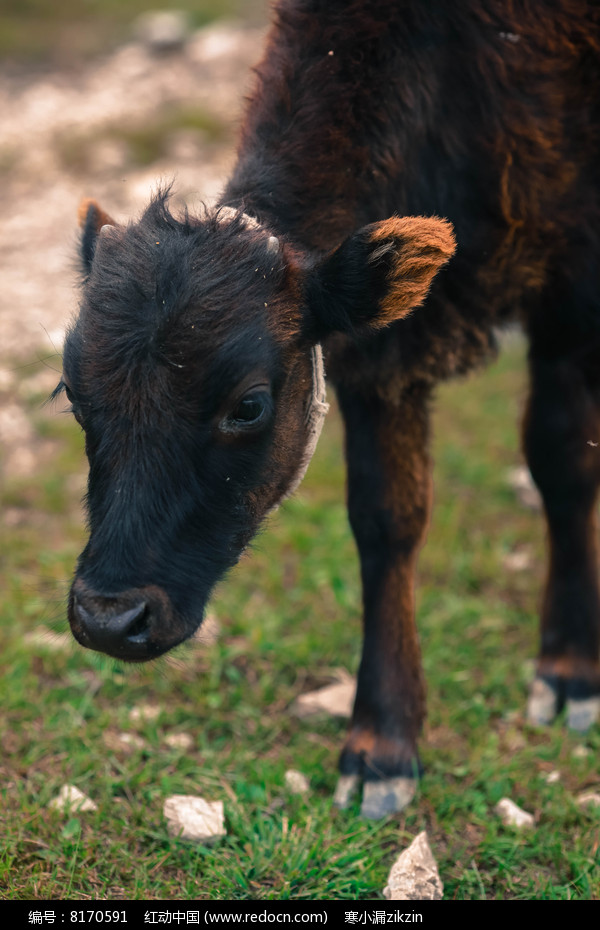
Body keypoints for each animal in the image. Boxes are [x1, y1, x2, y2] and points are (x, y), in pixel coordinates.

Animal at [58, 0, 596, 812]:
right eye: (74, 395)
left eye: (248, 404)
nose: (108, 619)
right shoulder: (383, 362)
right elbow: (387, 522)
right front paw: (383, 744)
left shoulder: (573, 286)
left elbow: (562, 464)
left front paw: (569, 672)